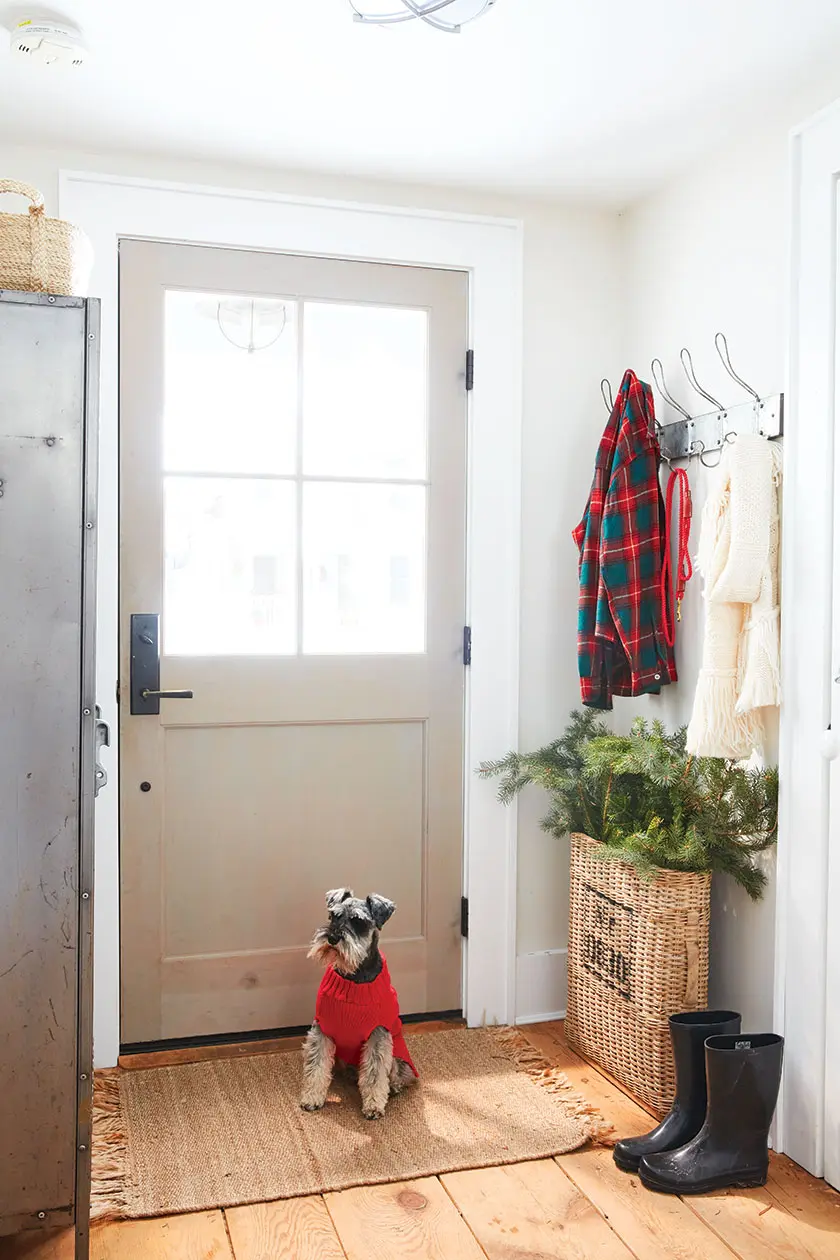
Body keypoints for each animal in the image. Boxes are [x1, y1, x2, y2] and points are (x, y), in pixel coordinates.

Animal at [302, 887, 420, 1123]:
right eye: (333, 915)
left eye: (358, 921)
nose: (332, 937)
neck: (353, 977)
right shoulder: (321, 1029)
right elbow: (316, 1065)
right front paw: (312, 1097)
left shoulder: (378, 1034)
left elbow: (374, 1074)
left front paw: (373, 1106)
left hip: (397, 1057)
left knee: (396, 1074)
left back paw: (393, 1087)